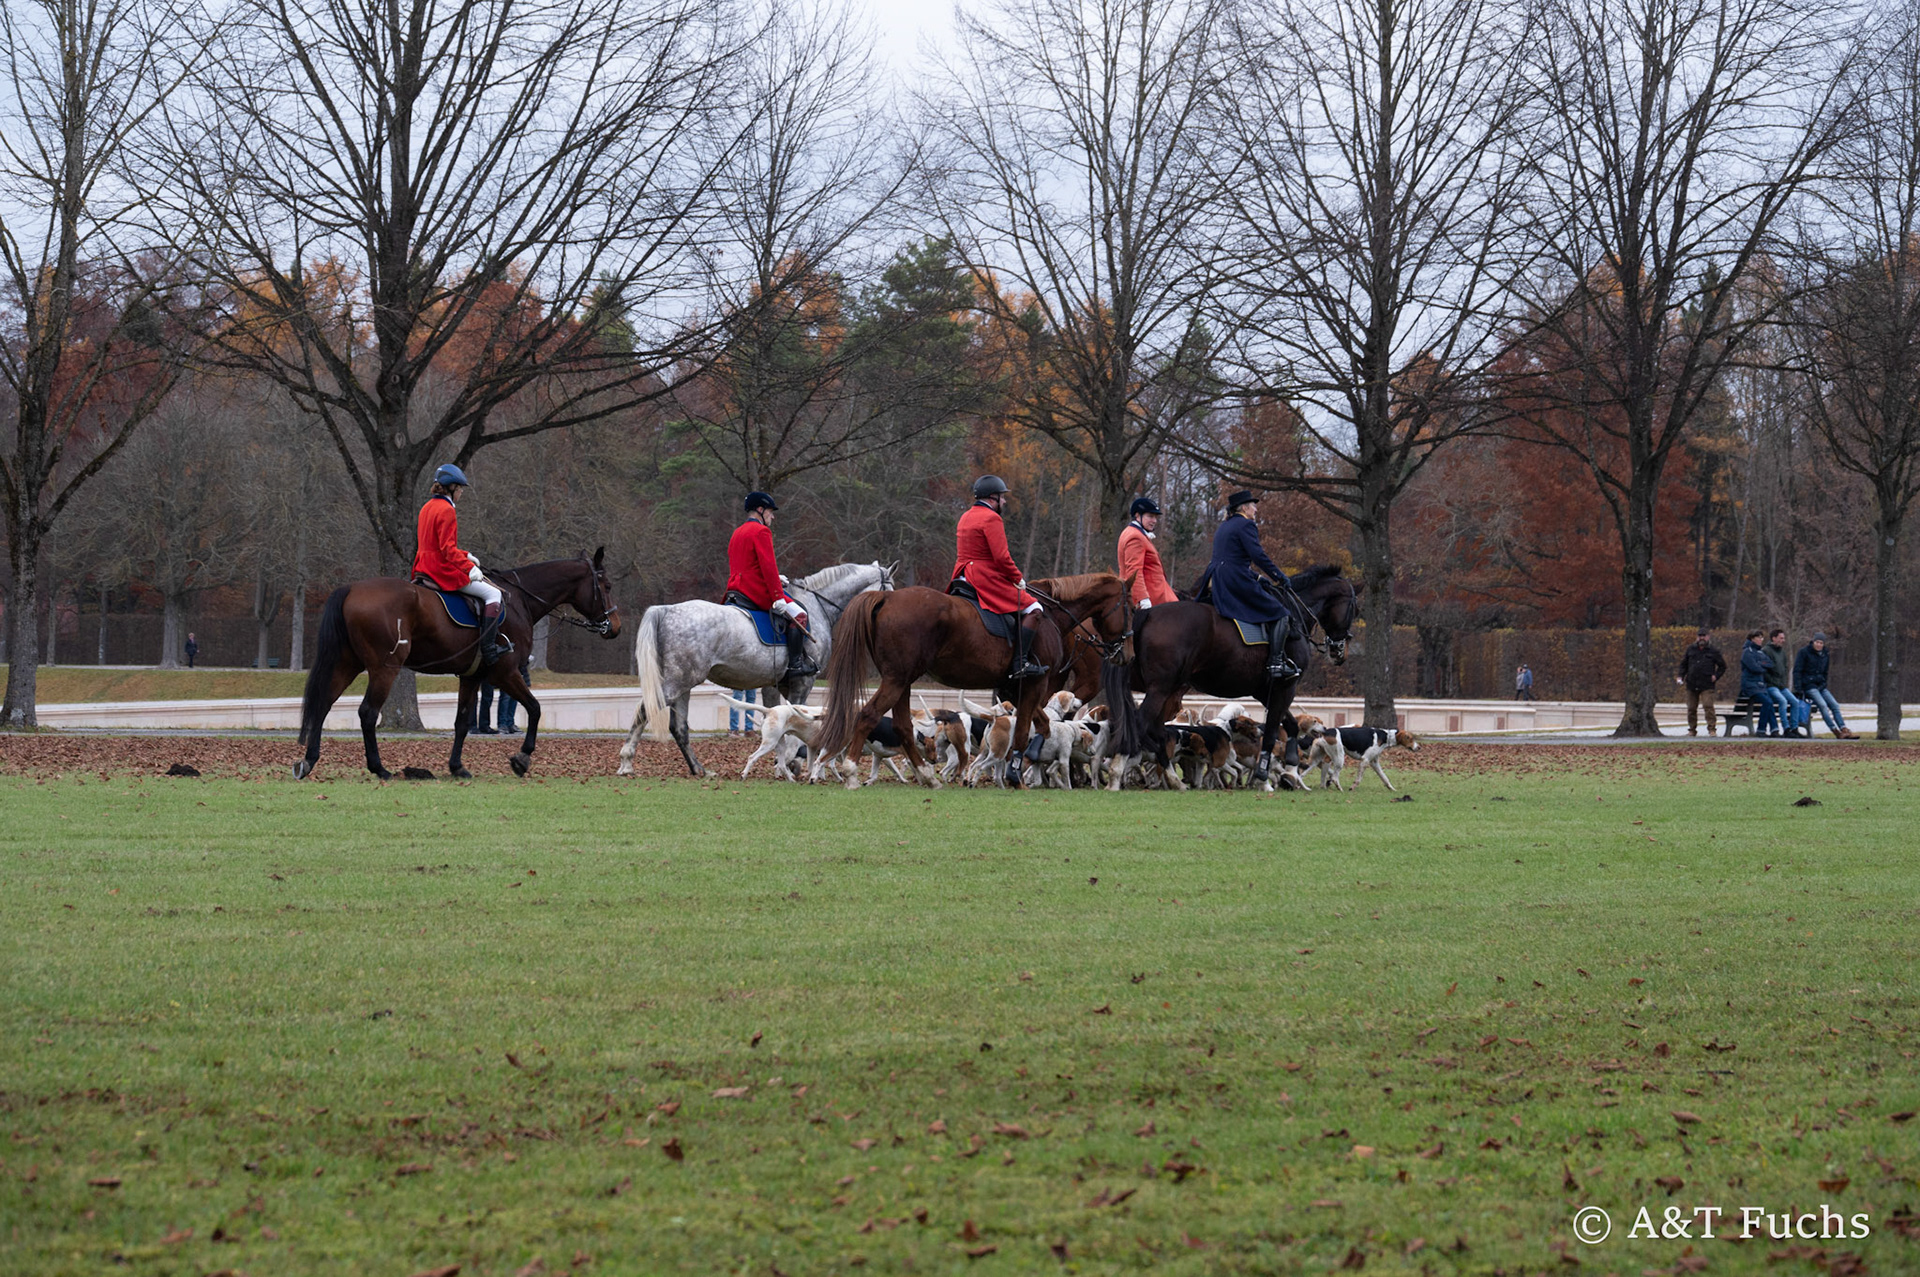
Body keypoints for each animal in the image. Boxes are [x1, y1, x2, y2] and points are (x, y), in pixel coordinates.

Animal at [292, 549, 621, 780]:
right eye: (606, 585)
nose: (614, 626)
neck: (519, 601)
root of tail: (352, 589)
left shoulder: (471, 677)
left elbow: (462, 722)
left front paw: (457, 767)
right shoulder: (505, 674)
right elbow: (535, 708)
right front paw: (522, 758)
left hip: (347, 664)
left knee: (323, 704)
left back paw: (309, 761)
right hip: (384, 669)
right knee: (367, 712)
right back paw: (379, 768)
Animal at [616, 561, 896, 777]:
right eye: (890, 589)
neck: (818, 605)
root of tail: (668, 609)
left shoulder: (773, 684)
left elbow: (778, 720)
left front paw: (780, 763)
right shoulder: (803, 683)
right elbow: (797, 722)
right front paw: (792, 763)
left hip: (684, 684)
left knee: (679, 727)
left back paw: (699, 769)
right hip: (679, 682)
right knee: (645, 710)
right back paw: (627, 762)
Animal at [814, 572, 1136, 789]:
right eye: (1131, 608)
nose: (1128, 654)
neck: (1052, 615)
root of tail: (888, 597)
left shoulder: (1017, 688)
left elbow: (1041, 726)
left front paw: (1033, 769)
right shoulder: (1035, 683)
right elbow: (1024, 732)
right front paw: (1019, 775)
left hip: (901, 681)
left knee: (903, 726)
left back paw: (927, 776)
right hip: (896, 680)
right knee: (868, 715)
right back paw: (852, 772)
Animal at [1108, 565, 1358, 792]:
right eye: (1353, 609)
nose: (1340, 652)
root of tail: (1149, 613)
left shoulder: (1266, 691)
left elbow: (1291, 726)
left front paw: (1289, 770)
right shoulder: (1286, 686)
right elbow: (1272, 732)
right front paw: (1265, 776)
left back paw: (1169, 778)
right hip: (1160, 689)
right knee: (1138, 725)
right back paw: (1118, 772)